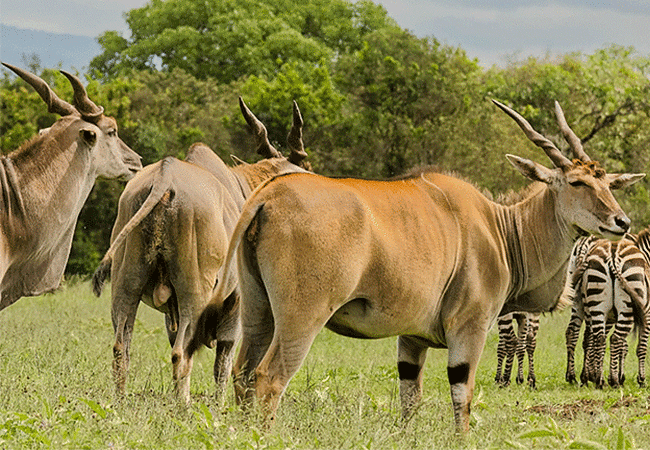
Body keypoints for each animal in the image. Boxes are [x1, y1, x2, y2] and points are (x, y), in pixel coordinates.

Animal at [92, 97, 310, 400]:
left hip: (126, 285)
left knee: (121, 348)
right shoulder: (236, 303)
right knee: (180, 354)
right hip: (193, 293)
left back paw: (121, 402)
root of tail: (164, 178)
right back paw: (183, 405)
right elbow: (225, 361)